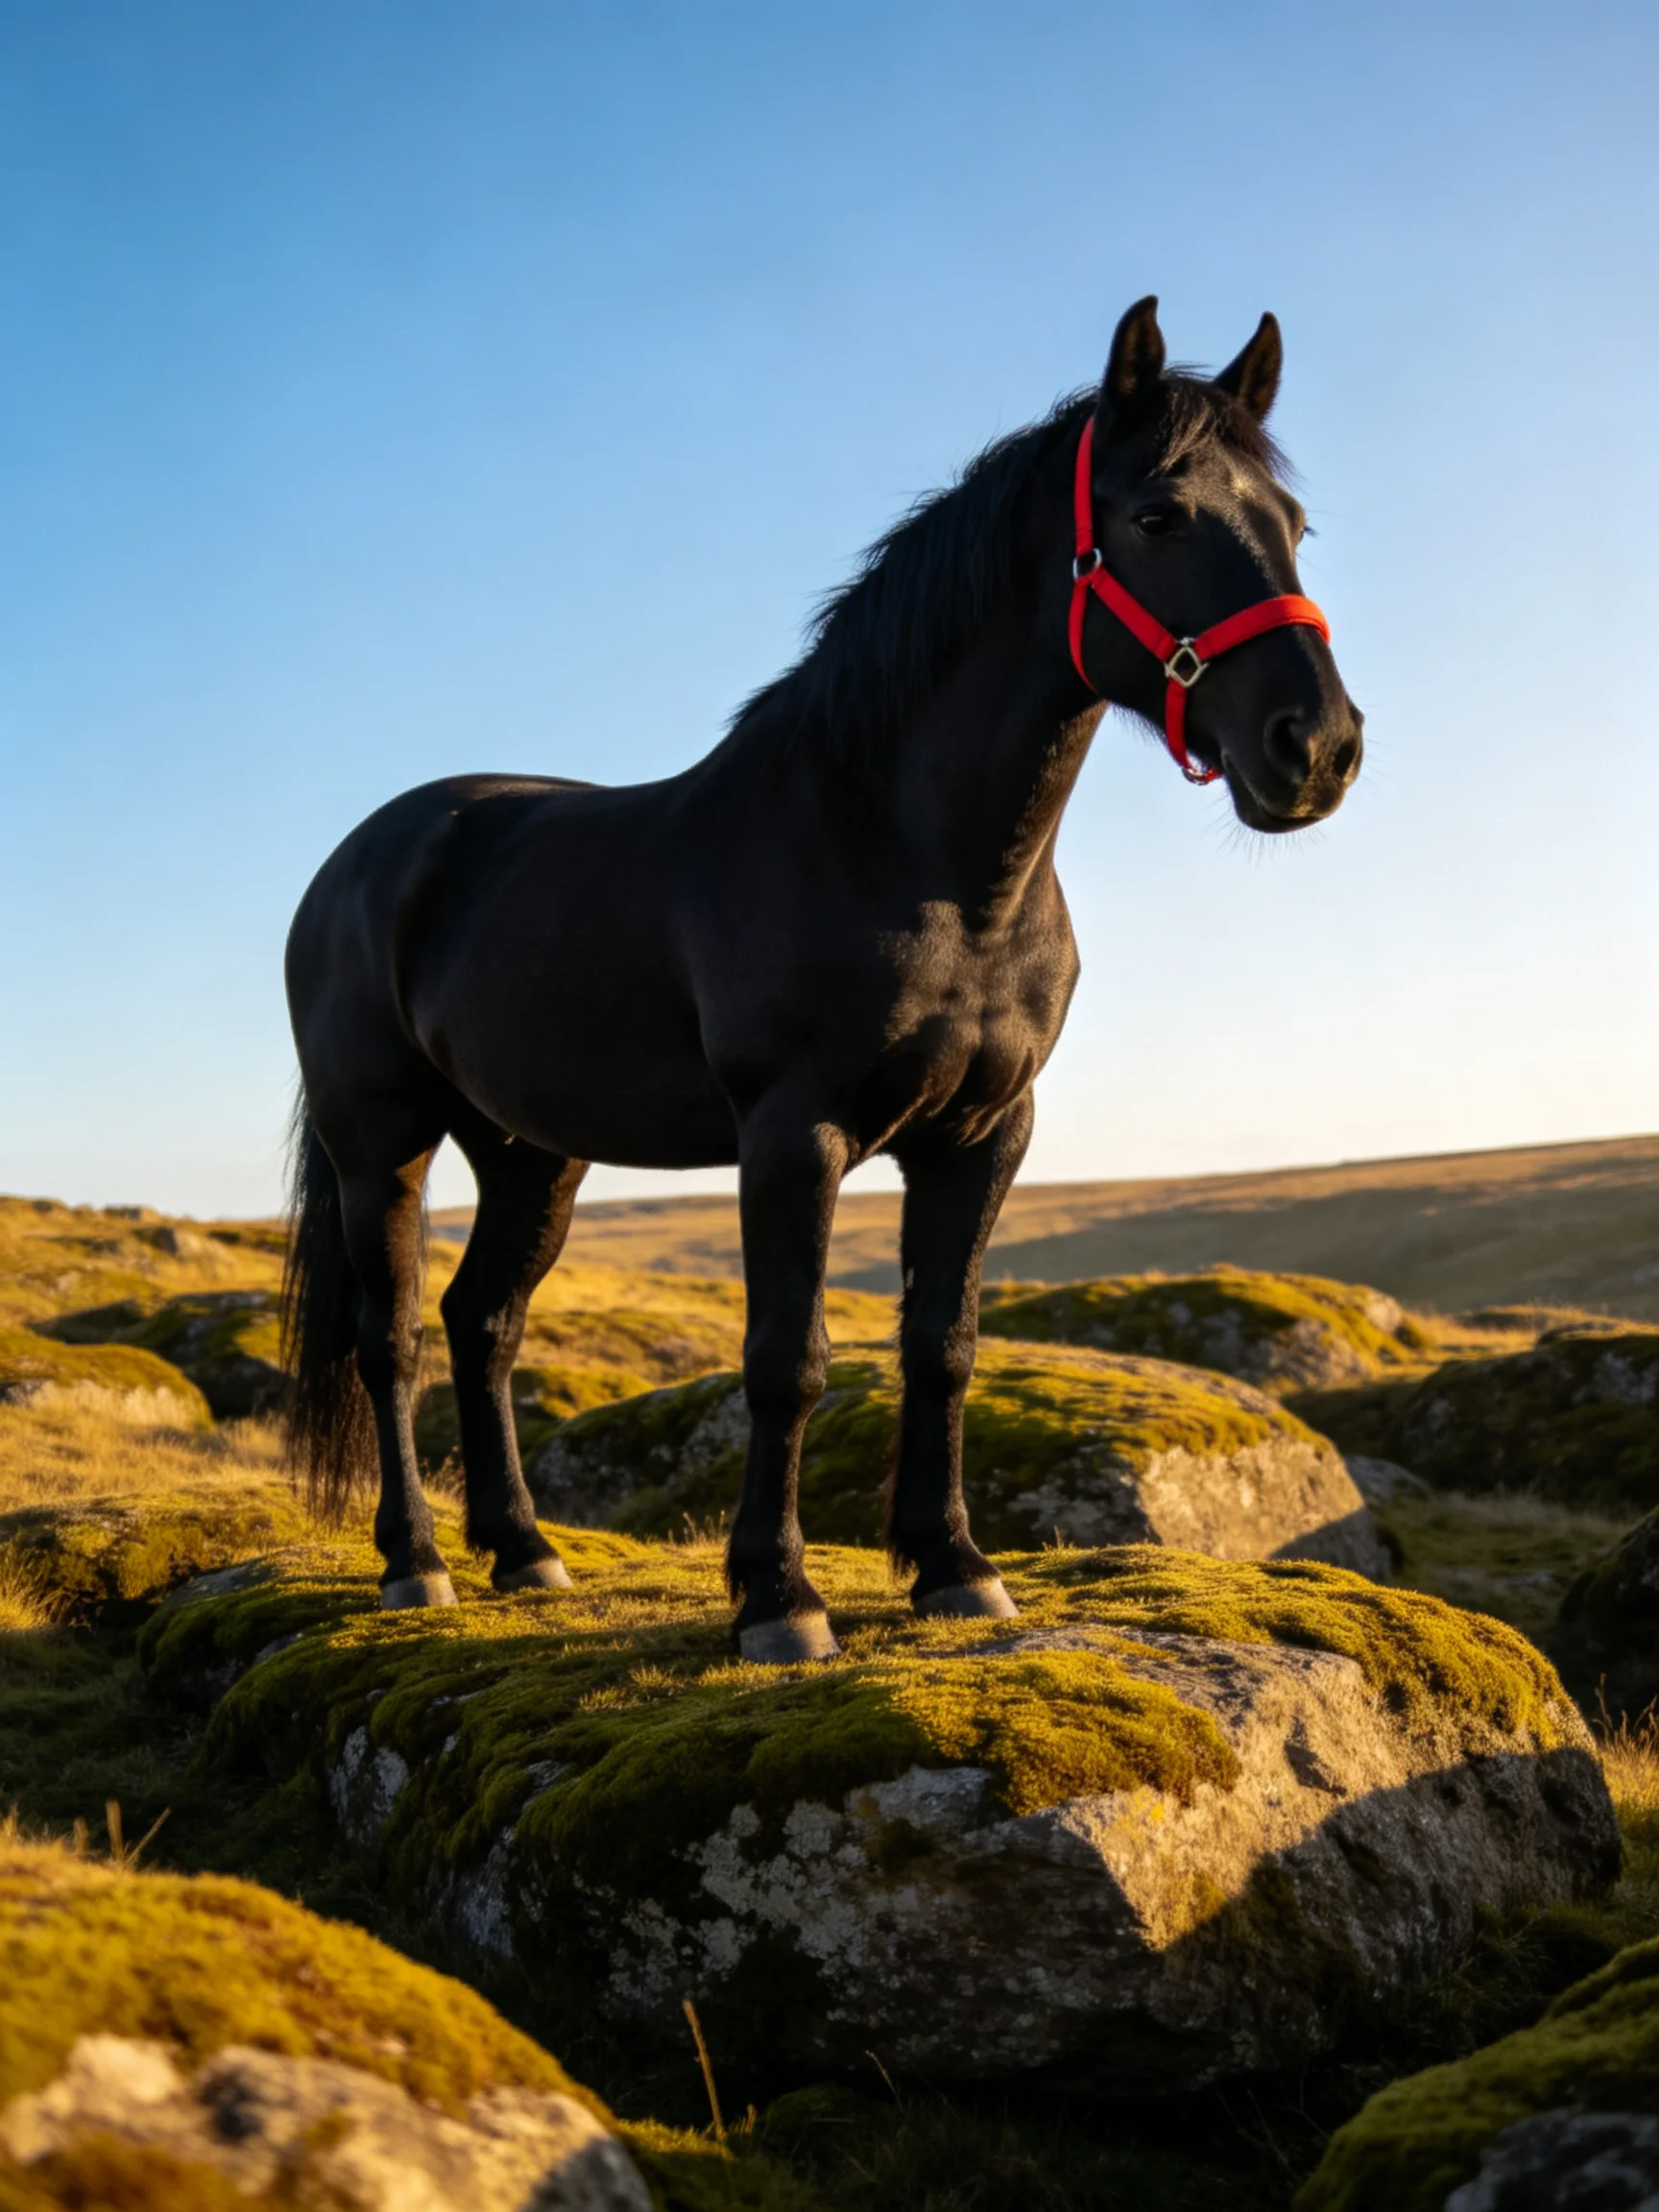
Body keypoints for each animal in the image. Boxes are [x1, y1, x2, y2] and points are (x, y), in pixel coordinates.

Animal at [281, 295, 1363, 1662]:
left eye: (1293, 526)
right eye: (1159, 515)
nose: (1316, 748)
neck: (914, 859)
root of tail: (362, 857)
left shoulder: (984, 1135)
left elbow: (942, 1345)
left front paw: (953, 1567)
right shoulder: (796, 1134)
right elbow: (787, 1358)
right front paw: (779, 1599)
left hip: (532, 1152)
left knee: (486, 1325)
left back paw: (524, 1553)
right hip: (383, 1143)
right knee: (395, 1339)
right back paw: (414, 1564)